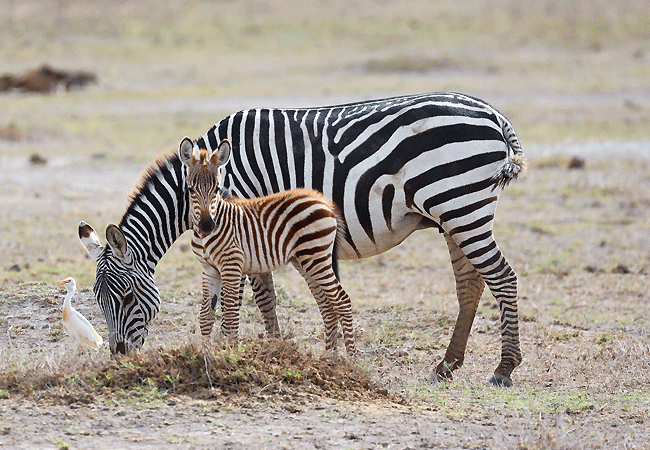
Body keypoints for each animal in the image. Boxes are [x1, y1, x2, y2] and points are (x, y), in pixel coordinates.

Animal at [180, 137, 356, 356]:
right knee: (326, 303)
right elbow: (206, 315)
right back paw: (328, 357)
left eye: (217, 189)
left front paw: (231, 354)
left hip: (316, 257)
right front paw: (206, 355)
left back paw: (350, 359)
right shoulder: (208, 269)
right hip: (304, 259)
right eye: (190, 190)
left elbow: (230, 313)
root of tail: (324, 202)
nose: (206, 226)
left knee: (342, 301)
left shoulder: (232, 265)